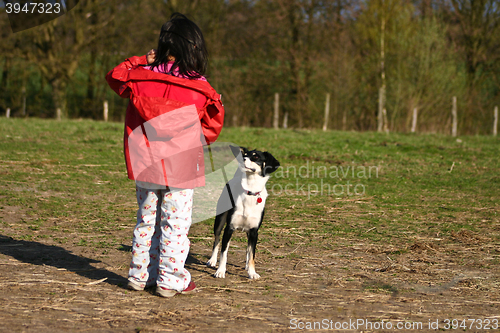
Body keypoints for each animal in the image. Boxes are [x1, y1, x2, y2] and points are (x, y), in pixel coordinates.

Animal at [206, 145, 280, 278]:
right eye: (245, 155)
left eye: (256, 157)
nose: (243, 158)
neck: (250, 192)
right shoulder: (229, 228)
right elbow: (224, 253)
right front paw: (220, 271)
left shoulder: (254, 231)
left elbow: (252, 254)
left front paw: (252, 272)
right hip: (219, 221)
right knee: (217, 240)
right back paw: (212, 260)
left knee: (248, 249)